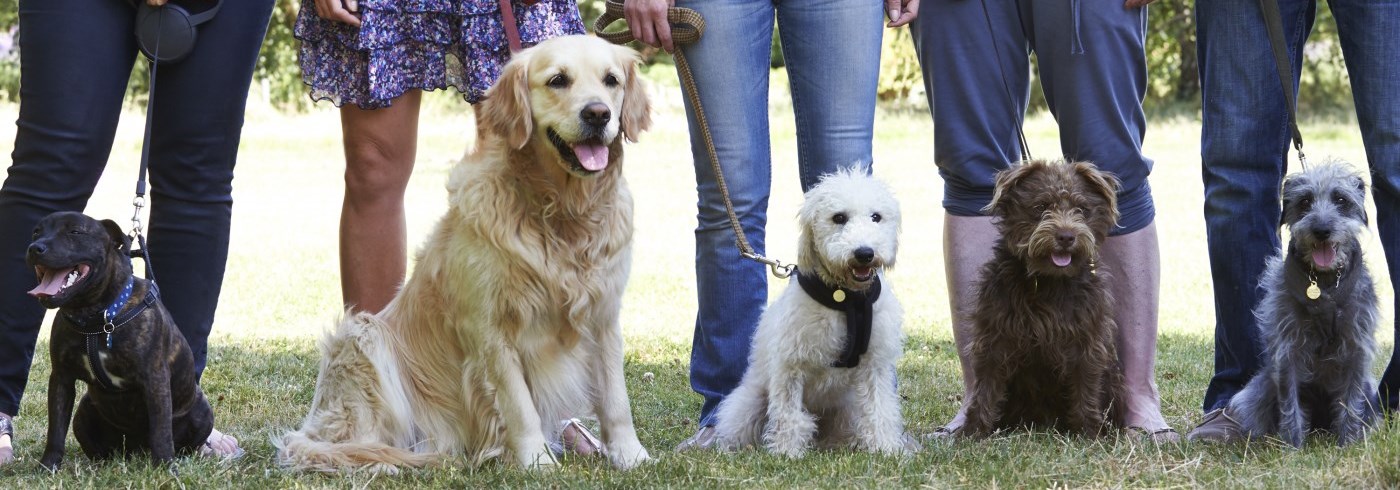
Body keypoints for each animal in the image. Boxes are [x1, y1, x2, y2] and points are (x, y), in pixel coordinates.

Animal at [27, 212, 214, 467]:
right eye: (36, 232)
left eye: (75, 232)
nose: (35, 247)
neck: (97, 318)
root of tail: (137, 449)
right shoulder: (61, 378)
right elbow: (55, 428)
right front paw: (49, 465)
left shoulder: (155, 380)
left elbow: (161, 430)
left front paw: (165, 467)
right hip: (83, 412)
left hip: (203, 411)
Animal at [280, 36, 660, 473]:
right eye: (558, 80)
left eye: (611, 80)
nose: (598, 114)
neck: (562, 212)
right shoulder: (489, 327)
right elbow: (520, 407)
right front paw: (537, 461)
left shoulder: (603, 317)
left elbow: (616, 399)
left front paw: (631, 455)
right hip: (363, 336)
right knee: (343, 442)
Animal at [716, 166, 912, 456]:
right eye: (838, 217)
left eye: (876, 217)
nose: (864, 253)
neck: (845, 299)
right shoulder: (790, 365)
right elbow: (789, 415)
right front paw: (786, 452)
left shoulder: (875, 364)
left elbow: (880, 409)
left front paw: (886, 448)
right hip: (748, 403)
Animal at [963, 159, 1125, 436]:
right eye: (1040, 207)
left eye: (1082, 210)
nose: (1066, 236)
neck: (1049, 281)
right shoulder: (994, 335)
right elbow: (986, 386)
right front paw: (973, 432)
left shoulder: (1087, 340)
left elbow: (1086, 386)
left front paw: (1090, 433)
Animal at [1226, 161, 1377, 448]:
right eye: (1305, 201)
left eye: (1341, 200)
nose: (1321, 230)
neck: (1325, 282)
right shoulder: (1288, 350)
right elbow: (1290, 402)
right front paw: (1292, 446)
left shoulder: (1357, 348)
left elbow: (1351, 400)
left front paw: (1348, 442)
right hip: (1256, 391)